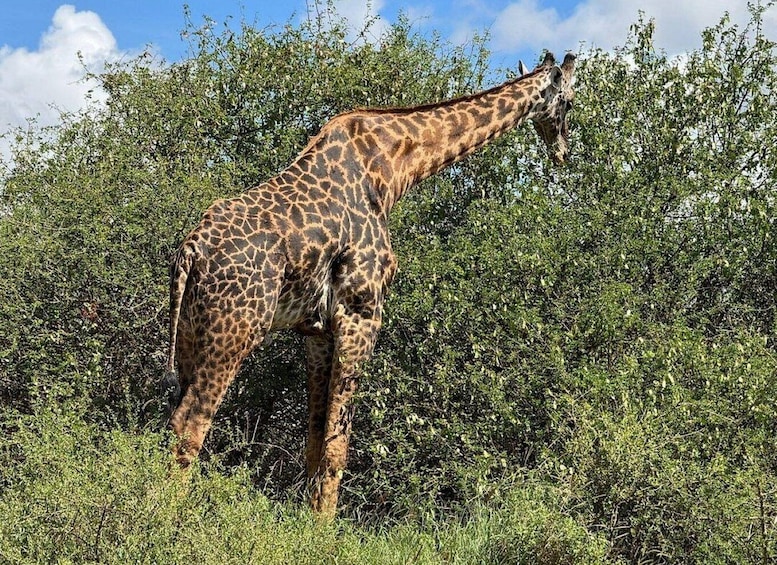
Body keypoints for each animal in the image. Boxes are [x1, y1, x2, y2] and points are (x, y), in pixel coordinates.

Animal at [164, 51, 576, 518]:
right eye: (569, 101)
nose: (563, 151)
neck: (394, 168)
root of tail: (191, 252)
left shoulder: (316, 330)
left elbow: (314, 442)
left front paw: (307, 518)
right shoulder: (361, 312)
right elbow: (338, 445)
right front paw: (324, 528)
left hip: (190, 335)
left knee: (170, 422)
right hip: (235, 330)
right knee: (190, 425)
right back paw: (167, 517)